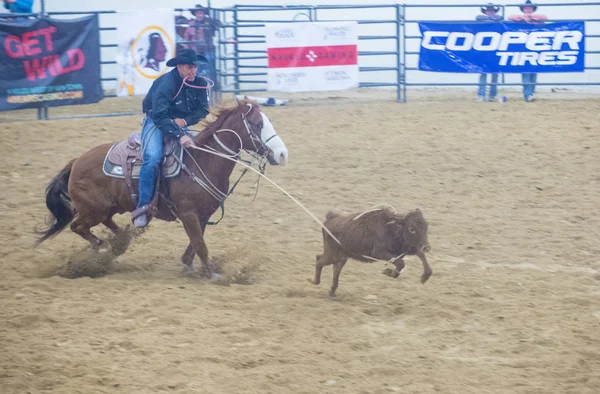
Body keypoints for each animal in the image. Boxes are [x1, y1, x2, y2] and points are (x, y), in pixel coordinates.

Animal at [36, 97, 290, 278]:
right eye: (258, 124)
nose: (282, 154)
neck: (202, 160)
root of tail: (76, 161)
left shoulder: (204, 214)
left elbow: (196, 242)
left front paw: (189, 266)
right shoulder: (188, 213)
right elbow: (200, 244)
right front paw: (213, 274)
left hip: (110, 207)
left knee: (105, 223)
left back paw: (120, 241)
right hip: (93, 210)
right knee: (78, 227)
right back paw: (104, 249)